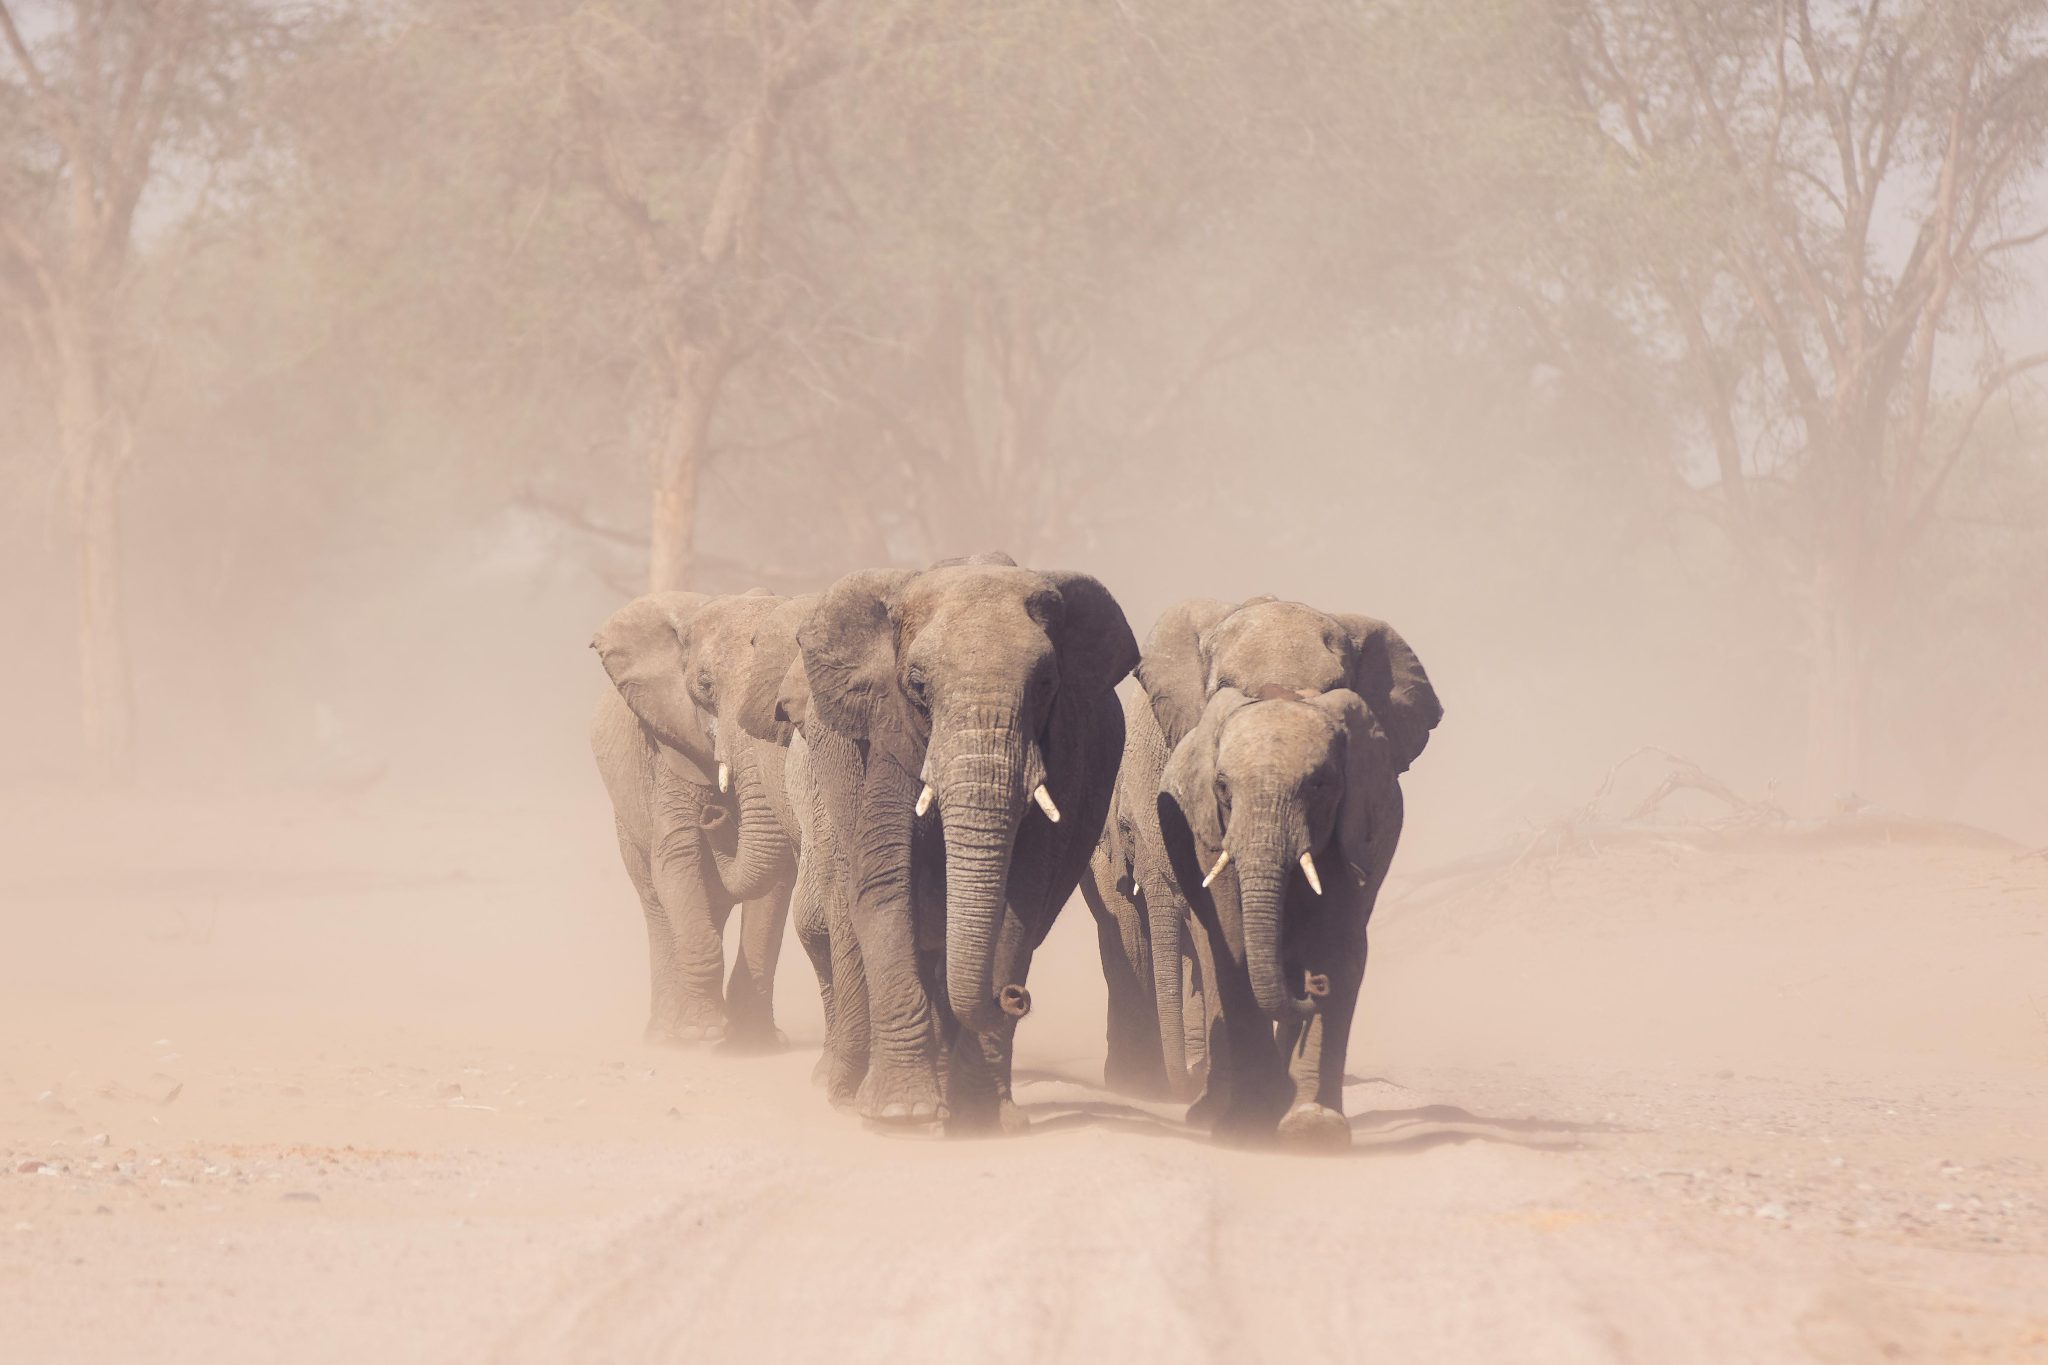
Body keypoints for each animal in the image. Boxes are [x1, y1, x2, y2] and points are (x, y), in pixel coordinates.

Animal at [589, 589, 802, 1047]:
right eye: (705, 686)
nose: (715, 815)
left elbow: (777, 877)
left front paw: (754, 1040)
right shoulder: (670, 746)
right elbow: (675, 856)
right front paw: (702, 1032)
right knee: (655, 901)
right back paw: (665, 1032)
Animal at [790, 556, 1138, 1129]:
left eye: (1046, 683)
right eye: (917, 685)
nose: (1015, 998)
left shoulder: (1063, 752)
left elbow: (1020, 904)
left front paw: (974, 1117)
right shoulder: (884, 738)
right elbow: (885, 883)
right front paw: (901, 1113)